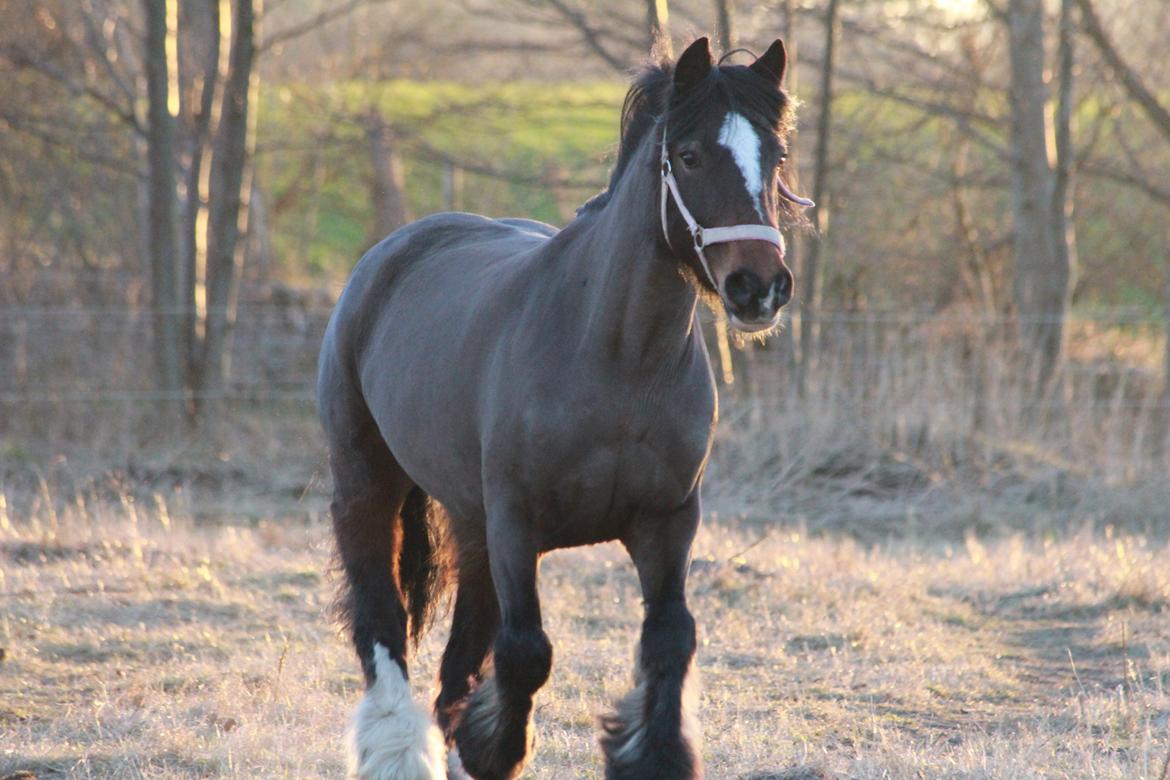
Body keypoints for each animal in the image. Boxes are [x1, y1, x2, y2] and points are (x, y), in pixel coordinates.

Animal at [320, 36, 814, 780]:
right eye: (690, 154)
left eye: (777, 156)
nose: (759, 287)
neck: (617, 363)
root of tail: (388, 255)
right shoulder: (517, 522)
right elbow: (526, 650)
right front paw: (493, 747)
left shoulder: (666, 521)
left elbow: (669, 638)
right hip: (368, 488)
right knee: (382, 621)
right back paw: (400, 750)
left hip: (471, 521)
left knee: (460, 650)